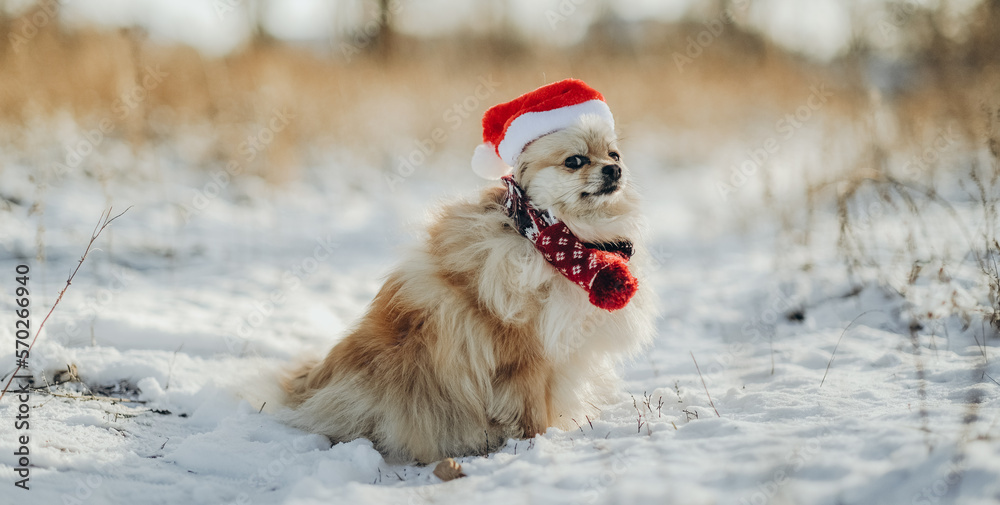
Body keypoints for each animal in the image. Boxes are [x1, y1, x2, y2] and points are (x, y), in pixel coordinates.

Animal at [280, 79, 656, 464]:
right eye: (574, 161)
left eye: (614, 155)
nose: (613, 170)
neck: (552, 240)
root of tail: (309, 387)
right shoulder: (526, 356)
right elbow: (530, 410)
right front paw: (537, 444)